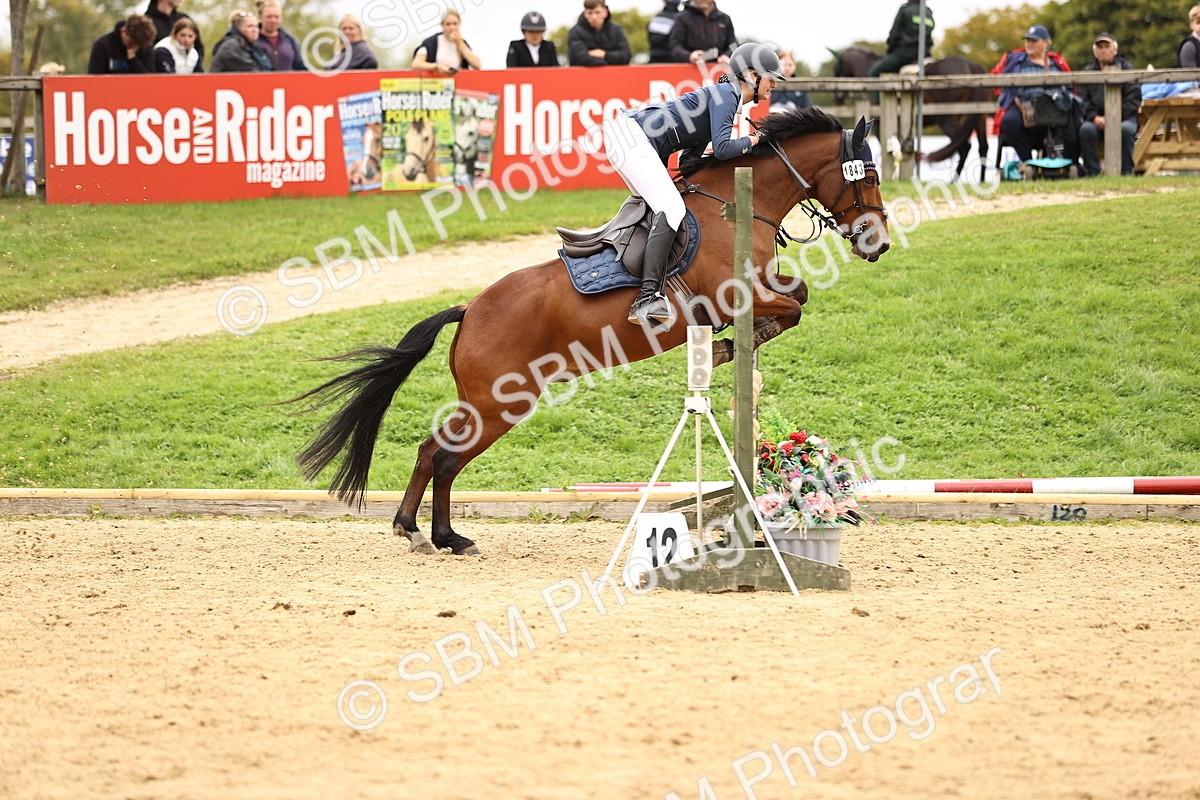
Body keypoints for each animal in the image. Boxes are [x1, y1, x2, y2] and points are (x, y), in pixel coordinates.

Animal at [289, 108, 890, 556]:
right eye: (869, 176)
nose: (878, 243)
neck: (740, 205)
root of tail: (471, 307)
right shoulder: (734, 291)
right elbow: (792, 306)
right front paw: (724, 348)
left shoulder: (763, 284)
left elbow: (798, 296)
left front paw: (732, 346)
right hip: (500, 403)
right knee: (444, 456)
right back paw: (436, 535)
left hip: (485, 402)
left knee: (430, 449)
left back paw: (425, 532)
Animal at [832, 45, 990, 182]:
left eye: (836, 68)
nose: (836, 98)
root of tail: (972, 66)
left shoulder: (878, 126)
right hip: (978, 116)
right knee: (983, 146)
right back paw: (981, 181)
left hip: (946, 119)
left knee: (963, 146)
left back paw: (954, 182)